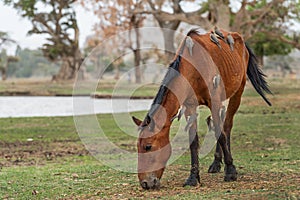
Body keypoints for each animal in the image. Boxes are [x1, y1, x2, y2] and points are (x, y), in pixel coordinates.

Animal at [131, 28, 272, 189]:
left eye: (148, 146)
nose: (145, 183)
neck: (193, 65)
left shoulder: (214, 102)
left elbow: (221, 134)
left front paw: (231, 171)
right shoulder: (190, 107)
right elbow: (194, 141)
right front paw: (193, 177)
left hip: (238, 92)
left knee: (227, 126)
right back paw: (216, 163)